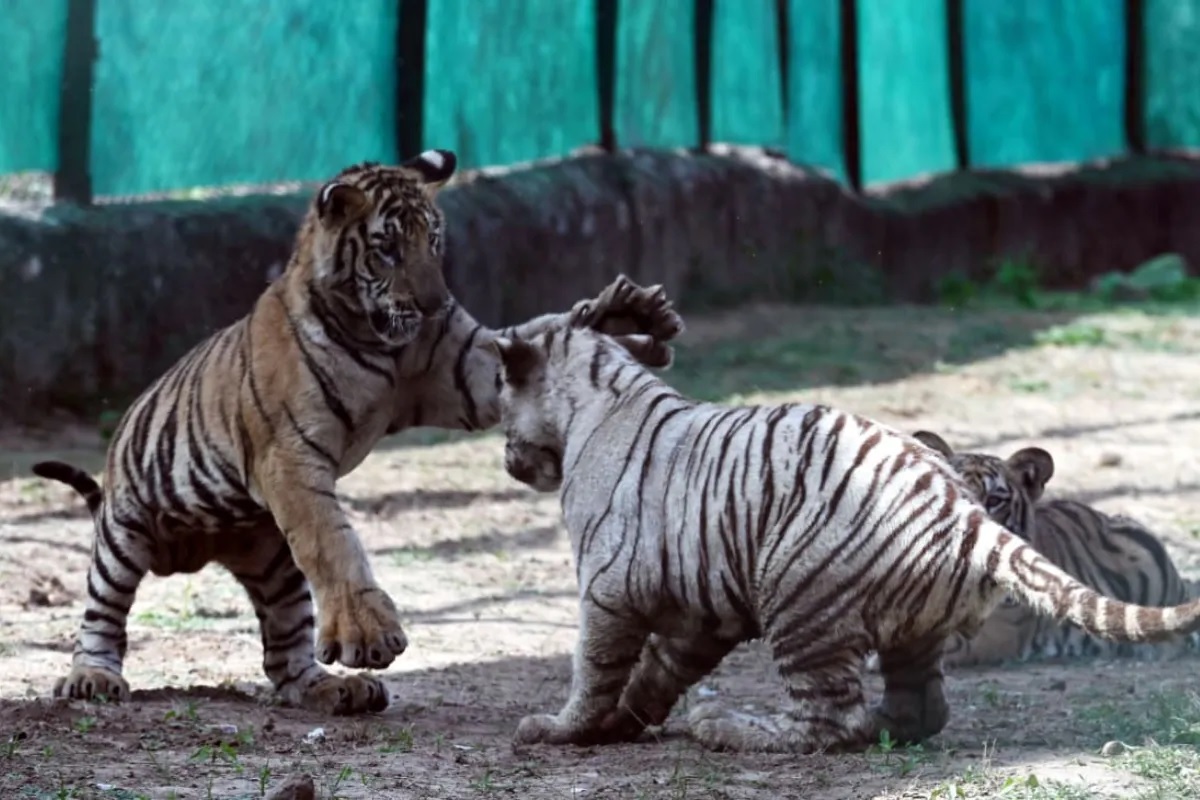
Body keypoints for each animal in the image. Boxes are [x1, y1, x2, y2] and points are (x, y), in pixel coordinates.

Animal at [30, 150, 685, 716]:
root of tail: (189, 555)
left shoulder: (466, 372)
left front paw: (628, 319)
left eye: (434, 241)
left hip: (272, 563)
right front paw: (368, 636)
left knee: (284, 654)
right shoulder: (289, 457)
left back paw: (333, 690)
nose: (434, 303)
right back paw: (92, 678)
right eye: (388, 248)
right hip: (125, 532)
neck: (381, 340)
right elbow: (333, 541)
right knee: (102, 613)